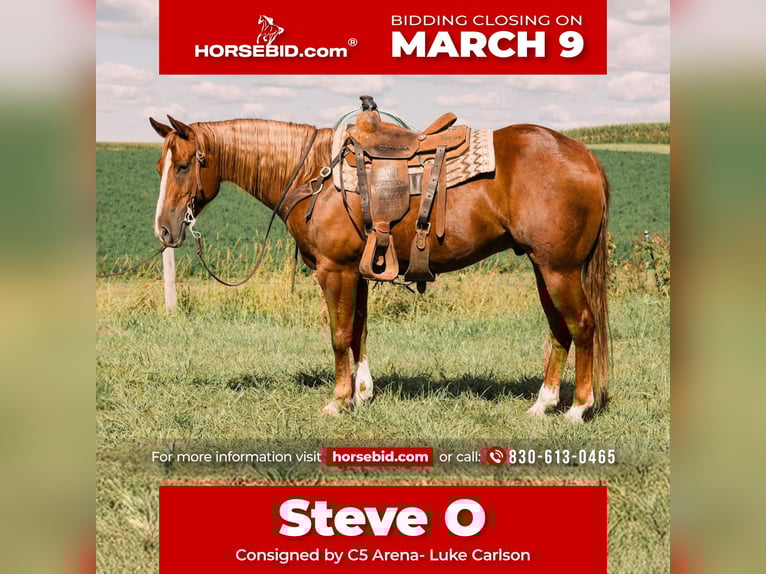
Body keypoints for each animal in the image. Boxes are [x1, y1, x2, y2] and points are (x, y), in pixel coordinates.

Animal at [148, 112, 610, 423]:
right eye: (159, 167)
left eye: (184, 165)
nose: (164, 229)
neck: (314, 174)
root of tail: (586, 156)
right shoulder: (359, 271)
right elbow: (359, 332)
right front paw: (363, 393)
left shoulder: (335, 270)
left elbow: (339, 336)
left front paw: (339, 400)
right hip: (543, 268)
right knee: (559, 330)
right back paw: (543, 404)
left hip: (559, 270)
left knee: (583, 326)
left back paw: (578, 408)